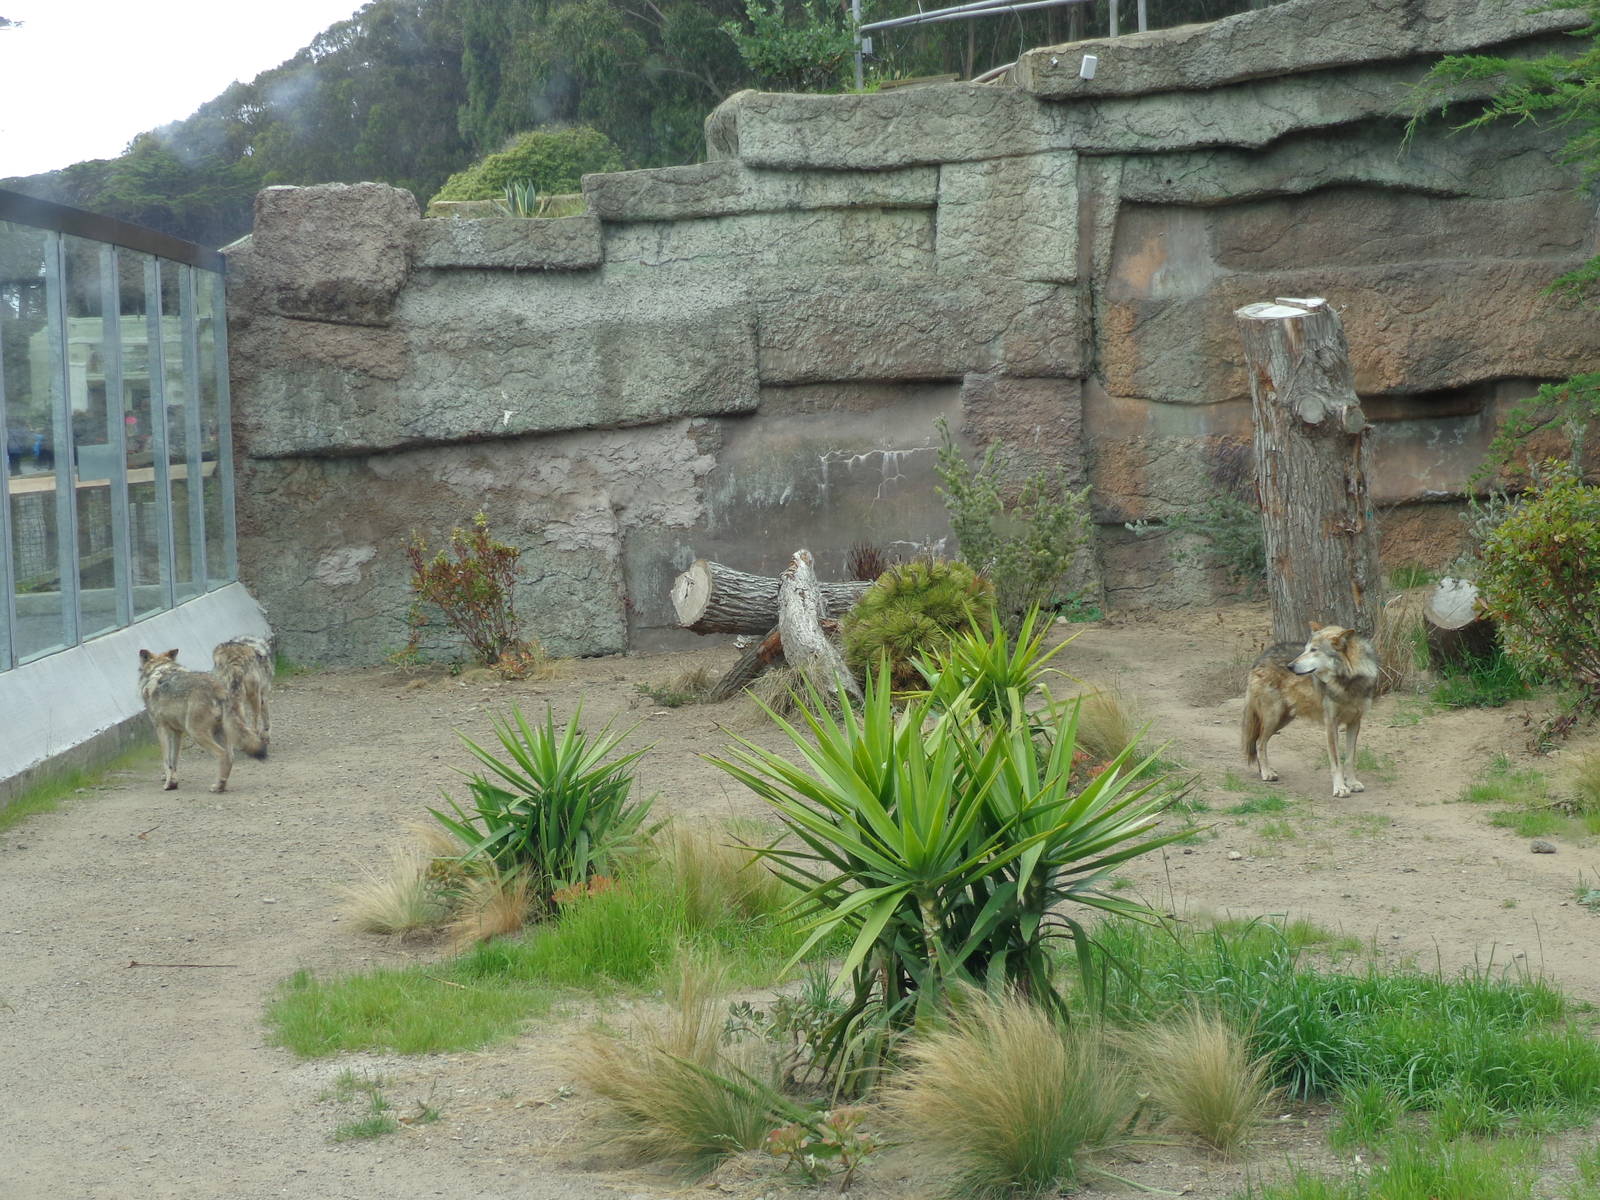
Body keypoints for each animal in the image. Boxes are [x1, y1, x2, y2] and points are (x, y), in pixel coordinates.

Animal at [137, 648, 267, 793]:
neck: (160, 668)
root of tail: (219, 690)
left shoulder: (161, 729)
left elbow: (167, 761)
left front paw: (169, 784)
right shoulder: (177, 732)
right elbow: (173, 760)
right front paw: (173, 781)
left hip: (196, 733)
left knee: (222, 755)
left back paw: (219, 786)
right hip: (221, 732)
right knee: (230, 756)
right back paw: (221, 785)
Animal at [1241, 623, 1379, 798]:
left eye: (1314, 650)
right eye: (1305, 649)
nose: (1290, 666)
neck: (1348, 682)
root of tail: (1262, 655)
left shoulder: (1355, 722)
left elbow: (1349, 758)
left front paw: (1352, 783)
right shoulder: (1331, 724)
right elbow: (1336, 762)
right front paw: (1340, 788)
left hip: (1283, 719)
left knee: (1260, 742)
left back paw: (1264, 770)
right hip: (1273, 717)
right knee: (1259, 743)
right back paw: (1266, 773)